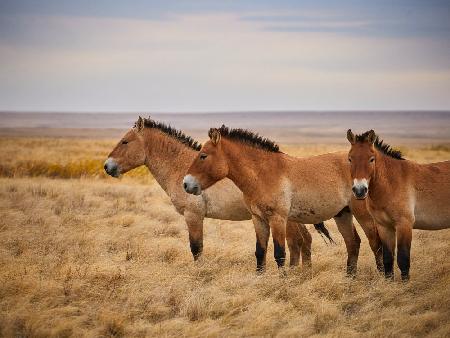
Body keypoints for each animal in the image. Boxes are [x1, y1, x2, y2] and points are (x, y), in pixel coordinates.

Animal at [104, 117, 330, 268]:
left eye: (125, 141)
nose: (107, 166)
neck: (181, 167)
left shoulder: (193, 216)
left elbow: (196, 248)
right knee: (304, 241)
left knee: (297, 242)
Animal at [183, 125, 384, 274]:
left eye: (203, 155)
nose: (186, 184)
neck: (262, 174)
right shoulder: (258, 219)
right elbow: (260, 252)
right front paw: (260, 278)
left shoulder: (278, 219)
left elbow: (279, 253)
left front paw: (282, 282)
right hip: (343, 214)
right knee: (353, 243)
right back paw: (350, 278)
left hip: (363, 215)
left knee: (375, 243)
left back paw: (382, 277)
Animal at [346, 129, 448, 280]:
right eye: (350, 159)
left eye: (371, 159)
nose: (359, 190)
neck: (392, 182)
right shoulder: (384, 227)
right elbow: (388, 259)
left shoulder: (404, 224)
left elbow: (403, 259)